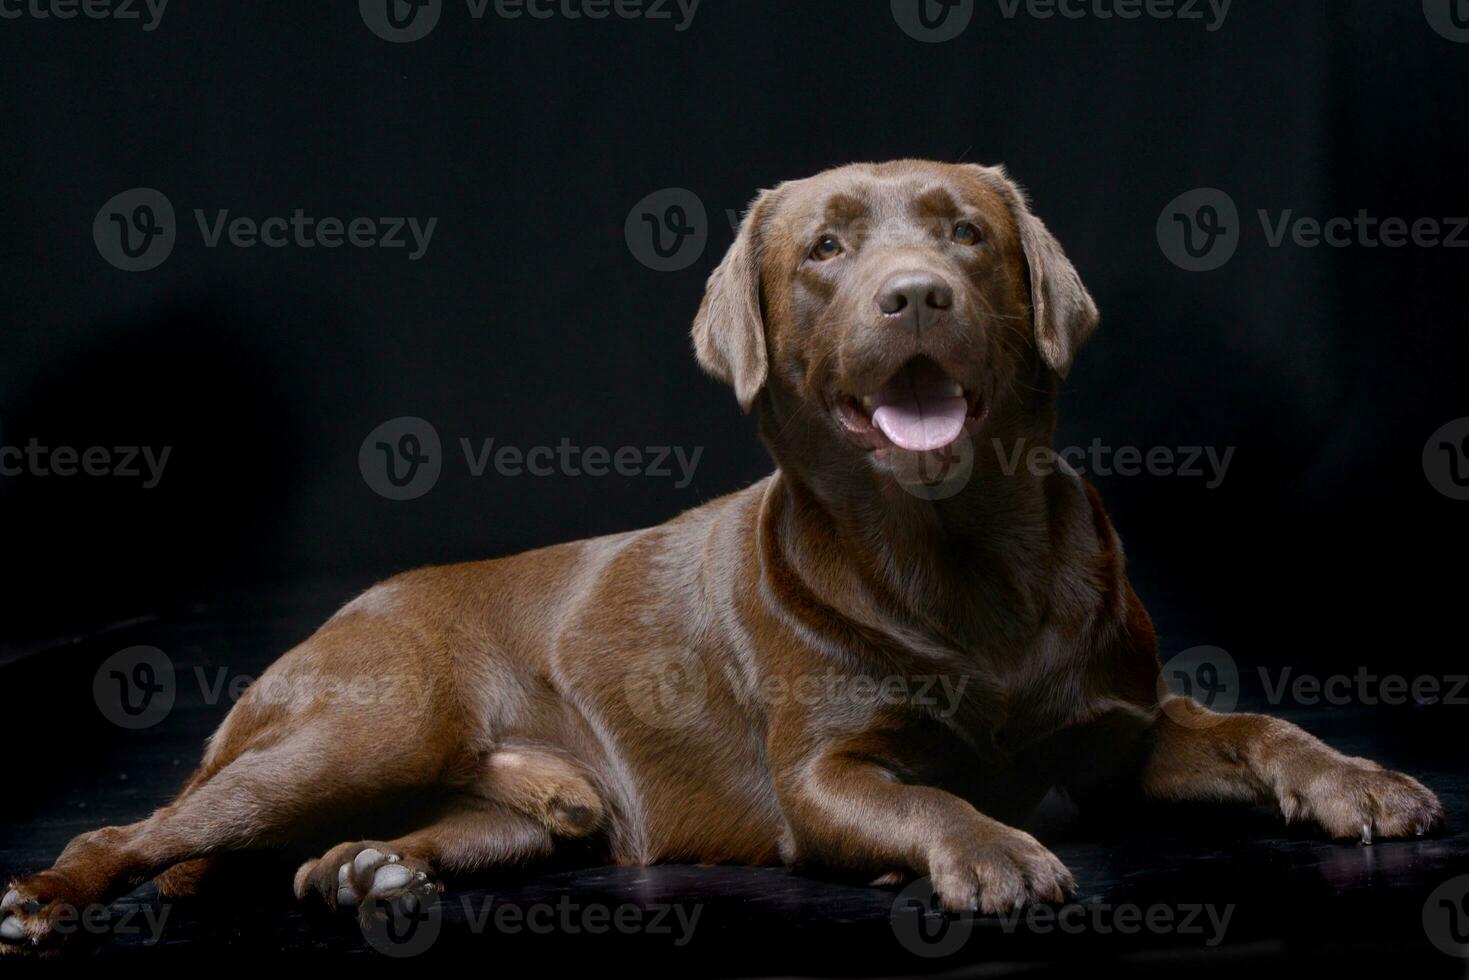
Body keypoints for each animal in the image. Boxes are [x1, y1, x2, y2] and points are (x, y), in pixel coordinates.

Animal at [0, 159, 1445, 952]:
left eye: (964, 232)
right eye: (826, 248)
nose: (913, 293)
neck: (959, 561)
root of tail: (331, 621)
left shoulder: (1123, 725)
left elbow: (1255, 725)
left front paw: (1356, 780)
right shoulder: (823, 777)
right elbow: (929, 800)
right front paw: (987, 851)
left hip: (483, 803)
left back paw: (371, 865)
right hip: (360, 724)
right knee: (143, 828)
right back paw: (46, 895)